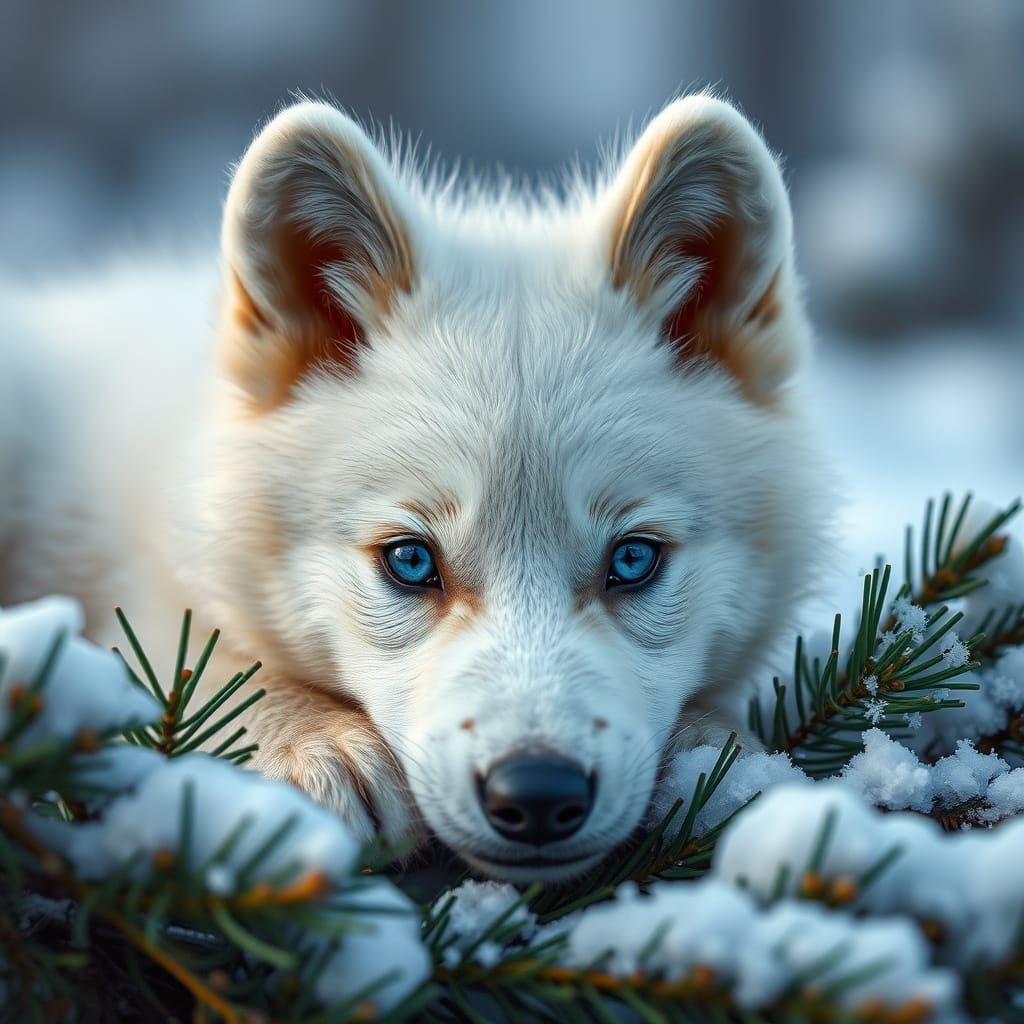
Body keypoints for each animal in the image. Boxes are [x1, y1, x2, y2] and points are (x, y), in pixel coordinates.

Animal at [0, 94, 828, 881]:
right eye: (409, 560)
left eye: (632, 560)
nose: (536, 794)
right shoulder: (139, 597)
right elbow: (189, 664)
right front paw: (315, 741)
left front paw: (721, 757)